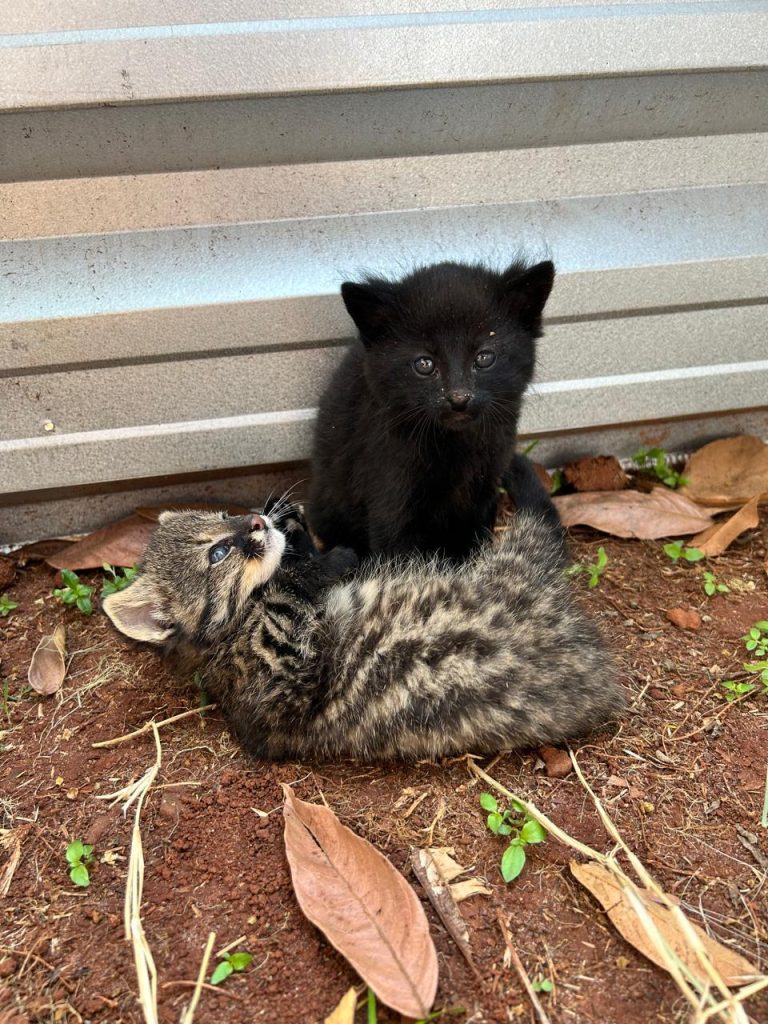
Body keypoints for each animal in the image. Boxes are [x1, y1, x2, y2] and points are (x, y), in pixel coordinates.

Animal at [103, 493, 626, 761]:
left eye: (223, 515)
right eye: (217, 552)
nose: (255, 519)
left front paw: (296, 528)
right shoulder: (282, 681)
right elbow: (291, 597)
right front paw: (317, 560)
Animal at [309, 258, 557, 561]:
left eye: (484, 358)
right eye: (425, 364)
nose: (459, 398)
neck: (456, 446)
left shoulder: (482, 494)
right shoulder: (390, 499)